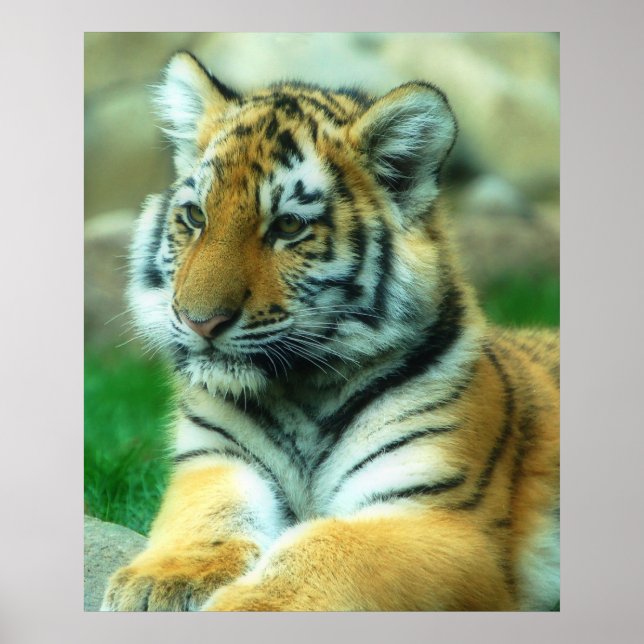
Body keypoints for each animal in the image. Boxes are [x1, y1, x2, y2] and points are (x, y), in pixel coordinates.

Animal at [101, 51, 559, 612]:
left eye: (288, 227)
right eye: (194, 217)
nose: (198, 320)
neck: (302, 391)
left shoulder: (443, 518)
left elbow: (324, 547)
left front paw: (245, 606)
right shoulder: (214, 460)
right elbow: (209, 515)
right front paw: (159, 582)